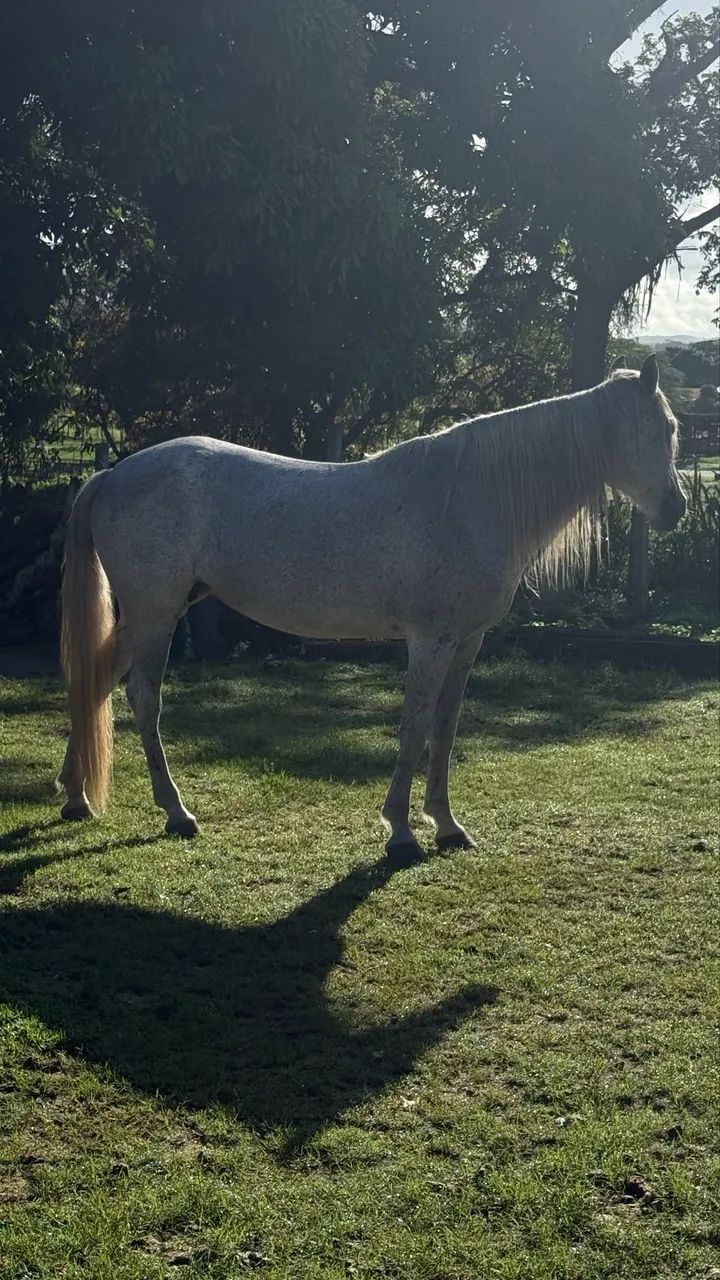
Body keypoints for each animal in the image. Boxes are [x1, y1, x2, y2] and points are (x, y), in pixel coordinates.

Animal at [58, 355, 685, 858]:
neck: (470, 498)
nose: (676, 508)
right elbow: (414, 728)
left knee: (95, 682)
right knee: (143, 697)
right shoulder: (429, 641)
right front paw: (402, 832)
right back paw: (176, 812)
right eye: (664, 428)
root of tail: (114, 473)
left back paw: (76, 797)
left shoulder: (466, 642)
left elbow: (445, 728)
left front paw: (448, 826)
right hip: (156, 614)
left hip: (149, 616)